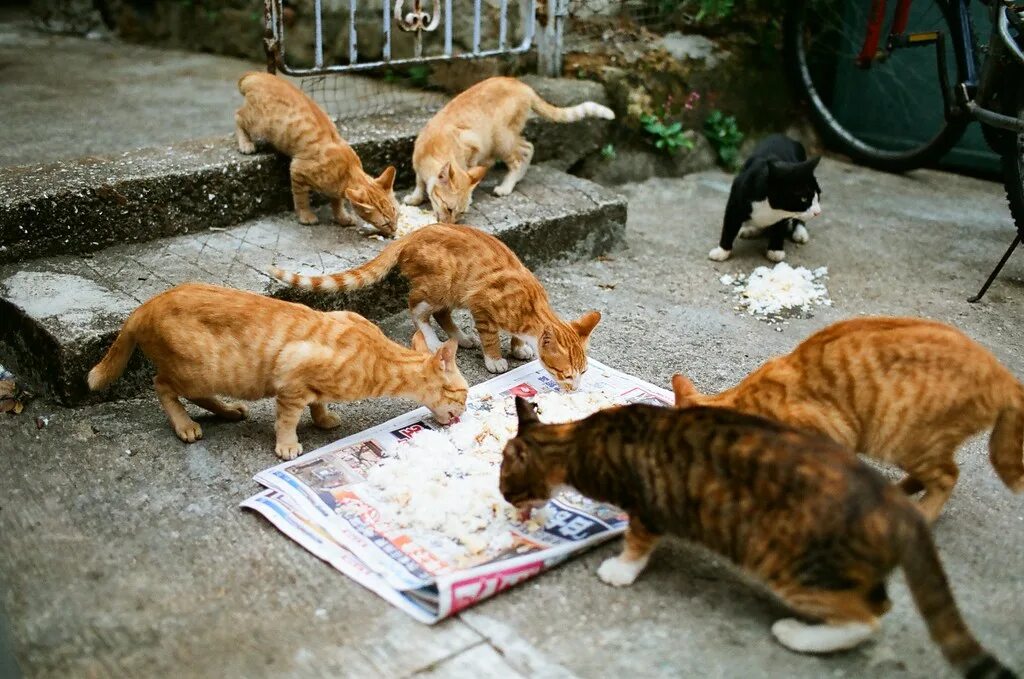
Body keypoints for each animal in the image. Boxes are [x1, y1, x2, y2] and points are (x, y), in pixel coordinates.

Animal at [86, 280, 466, 462]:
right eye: (463, 395)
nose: (463, 413)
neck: (380, 357)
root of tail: (145, 306)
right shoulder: (291, 377)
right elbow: (287, 418)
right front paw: (287, 445)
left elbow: (318, 402)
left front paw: (323, 418)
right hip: (197, 370)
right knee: (161, 385)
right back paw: (185, 425)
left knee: (196, 395)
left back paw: (229, 411)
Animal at [268, 224, 598, 387]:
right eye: (567, 374)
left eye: (584, 372)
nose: (576, 389)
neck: (531, 307)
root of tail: (414, 233)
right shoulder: (482, 305)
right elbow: (491, 336)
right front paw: (494, 358)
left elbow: (515, 335)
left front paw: (519, 347)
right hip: (442, 285)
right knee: (416, 308)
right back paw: (435, 339)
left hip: (449, 291)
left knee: (440, 313)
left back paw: (460, 337)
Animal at [405, 77, 614, 222]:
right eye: (449, 209)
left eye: (460, 213)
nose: (450, 224)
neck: (433, 149)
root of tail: (522, 85)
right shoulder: (419, 164)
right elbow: (419, 183)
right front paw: (415, 197)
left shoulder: (473, 144)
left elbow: (469, 167)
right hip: (507, 137)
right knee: (528, 147)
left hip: (501, 139)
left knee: (520, 155)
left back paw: (506, 186)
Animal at [708, 133, 819, 262]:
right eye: (804, 199)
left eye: (818, 196)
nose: (818, 212)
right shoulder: (735, 203)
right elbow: (729, 226)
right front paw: (722, 251)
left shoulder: (783, 215)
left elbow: (779, 228)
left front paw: (775, 250)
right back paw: (750, 229)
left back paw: (800, 232)